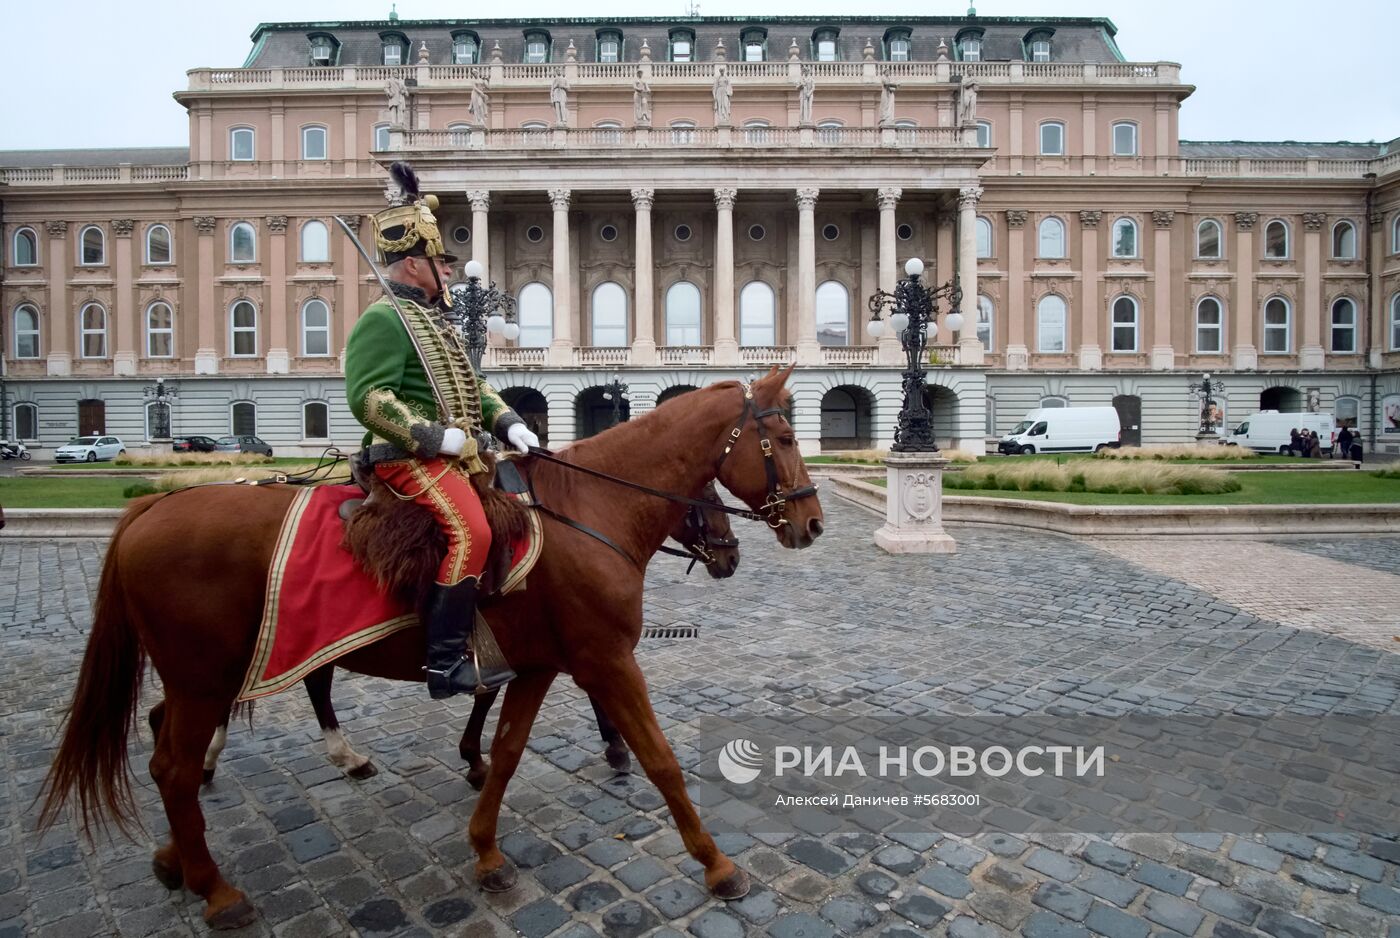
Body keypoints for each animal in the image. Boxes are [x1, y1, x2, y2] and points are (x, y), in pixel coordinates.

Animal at [40, 372, 817, 929]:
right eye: (780, 439)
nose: (811, 522)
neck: (585, 513)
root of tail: (152, 504)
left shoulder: (541, 663)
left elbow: (506, 749)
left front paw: (487, 848)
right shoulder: (606, 658)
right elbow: (661, 760)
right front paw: (715, 864)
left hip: (207, 676)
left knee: (166, 745)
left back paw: (180, 856)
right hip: (205, 677)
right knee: (173, 764)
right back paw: (218, 888)